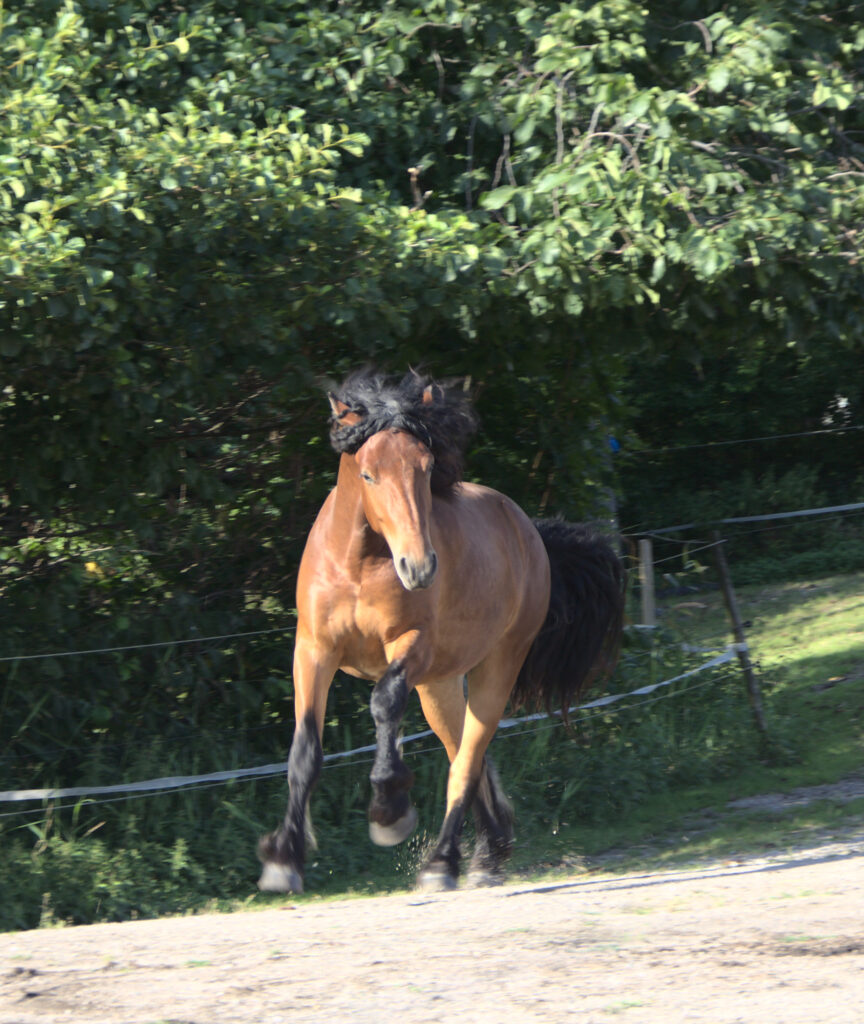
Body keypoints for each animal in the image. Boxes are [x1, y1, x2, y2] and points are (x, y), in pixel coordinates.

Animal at [258, 370, 624, 893]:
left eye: (427, 468)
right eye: (368, 474)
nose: (419, 567)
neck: (359, 564)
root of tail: (529, 531)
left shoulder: (411, 647)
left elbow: (384, 703)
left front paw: (389, 810)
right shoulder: (313, 652)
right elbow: (305, 753)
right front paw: (284, 859)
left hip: (495, 669)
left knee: (467, 760)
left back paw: (443, 862)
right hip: (440, 686)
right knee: (465, 754)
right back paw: (489, 852)